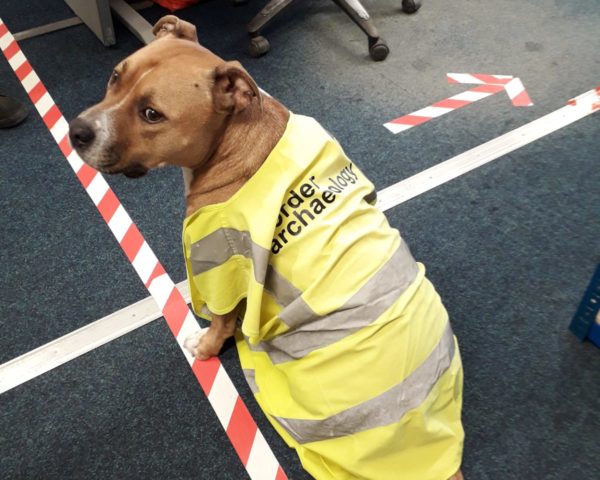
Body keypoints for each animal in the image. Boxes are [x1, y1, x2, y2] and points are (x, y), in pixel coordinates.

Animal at [69, 15, 464, 480]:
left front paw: (206, 347)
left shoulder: (218, 265)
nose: (77, 131)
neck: (230, 140)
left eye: (152, 114)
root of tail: (438, 461)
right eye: (116, 76)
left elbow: (221, 320)